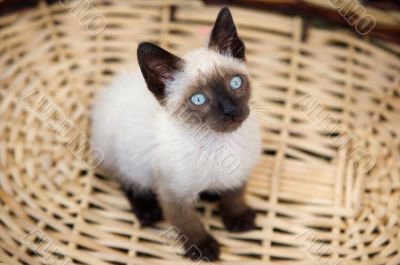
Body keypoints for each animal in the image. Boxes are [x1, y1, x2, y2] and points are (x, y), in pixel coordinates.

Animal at [91, 6, 260, 260]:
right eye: (198, 99)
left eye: (236, 83)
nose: (231, 111)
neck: (220, 145)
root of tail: (109, 90)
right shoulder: (173, 194)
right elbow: (188, 222)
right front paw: (203, 248)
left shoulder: (237, 174)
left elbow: (234, 196)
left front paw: (239, 220)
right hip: (126, 159)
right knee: (127, 181)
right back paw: (147, 212)